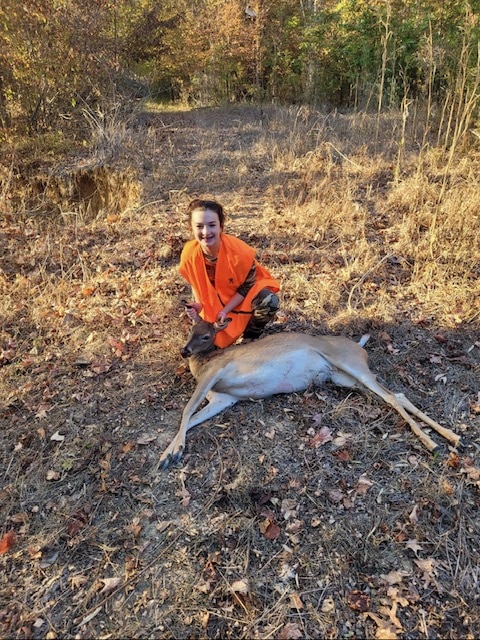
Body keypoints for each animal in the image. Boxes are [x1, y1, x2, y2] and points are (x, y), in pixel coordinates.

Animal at [158, 316, 461, 470]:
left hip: (351, 365)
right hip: (345, 379)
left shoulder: (215, 373)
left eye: (206, 335)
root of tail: (360, 346)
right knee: (396, 395)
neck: (203, 365)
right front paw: (170, 452)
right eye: (190, 329)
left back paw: (433, 443)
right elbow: (192, 418)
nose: (184, 351)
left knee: (390, 396)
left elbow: (185, 411)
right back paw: (452, 437)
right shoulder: (225, 398)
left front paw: (170, 455)